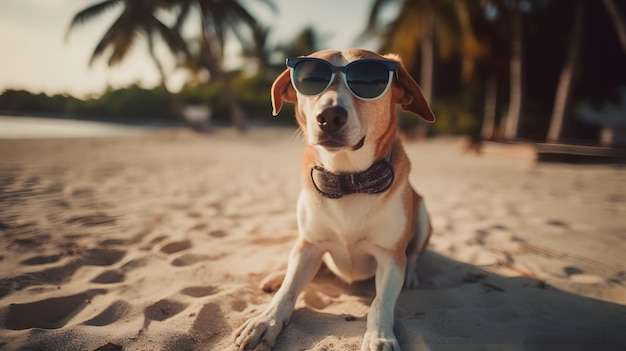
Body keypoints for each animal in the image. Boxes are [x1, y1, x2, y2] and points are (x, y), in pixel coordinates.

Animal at [234, 49, 434, 351]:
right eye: (309, 79)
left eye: (369, 81)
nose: (329, 116)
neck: (347, 180)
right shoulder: (309, 246)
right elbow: (288, 291)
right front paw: (265, 321)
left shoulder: (389, 257)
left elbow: (381, 302)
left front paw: (379, 336)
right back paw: (277, 275)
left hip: (422, 214)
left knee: (413, 255)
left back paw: (411, 274)